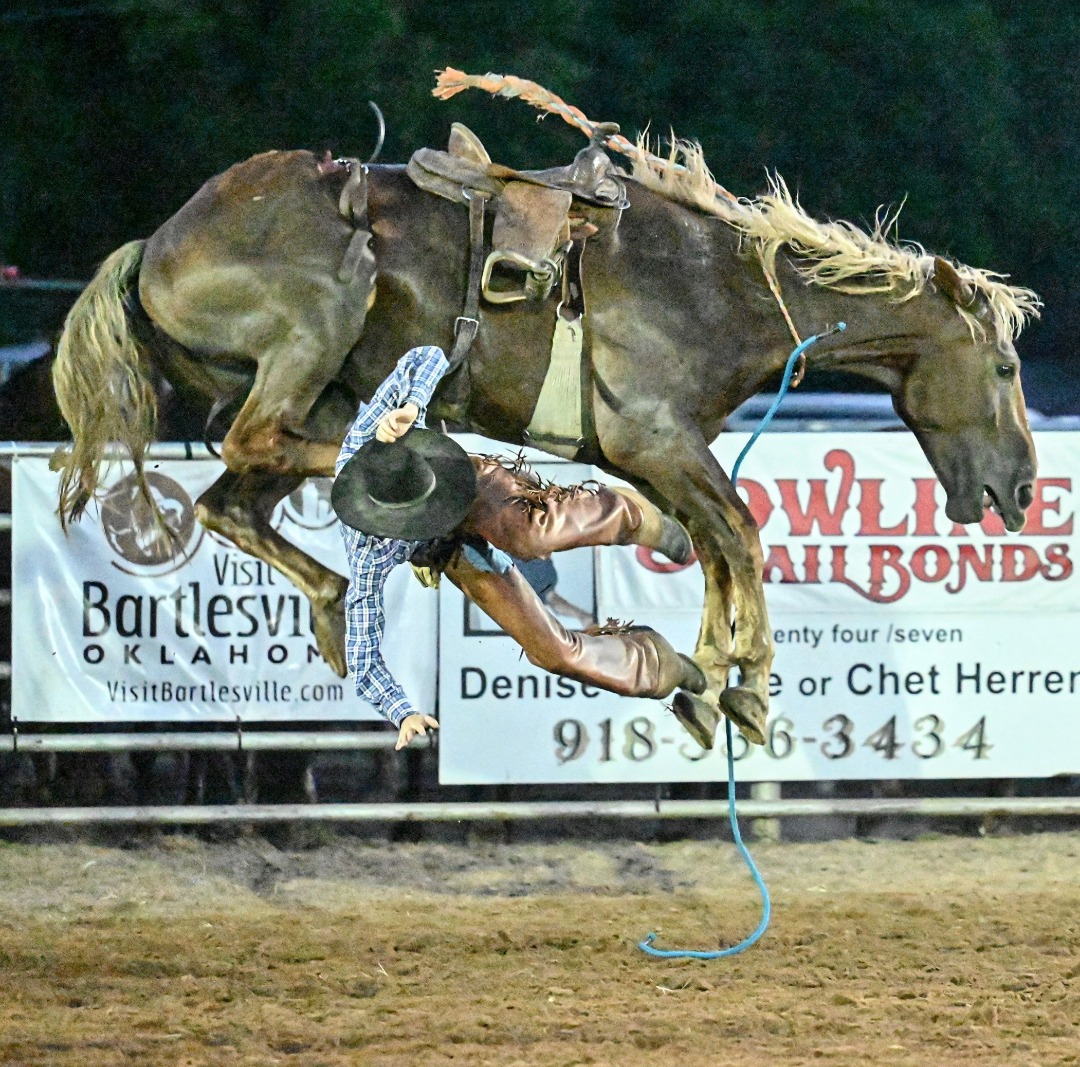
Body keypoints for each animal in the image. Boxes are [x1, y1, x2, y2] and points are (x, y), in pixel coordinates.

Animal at [50, 70, 1036, 747]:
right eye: (1004, 365)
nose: (1023, 486)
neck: (720, 288)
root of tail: (156, 244)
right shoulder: (657, 440)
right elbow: (740, 532)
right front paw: (747, 686)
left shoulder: (660, 456)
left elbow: (715, 544)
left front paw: (706, 680)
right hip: (318, 326)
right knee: (261, 442)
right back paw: (434, 475)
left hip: (318, 387)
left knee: (231, 497)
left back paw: (340, 595)